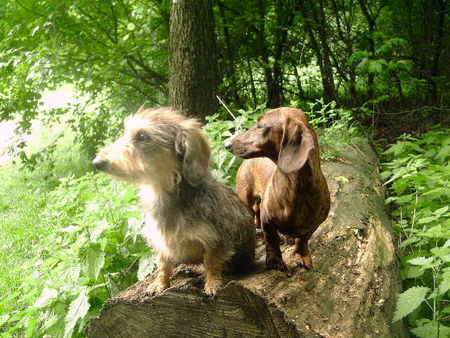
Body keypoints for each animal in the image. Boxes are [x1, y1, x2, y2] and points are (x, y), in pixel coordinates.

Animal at [92, 106, 255, 296]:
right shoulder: (161, 243)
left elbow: (212, 264)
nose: (97, 162)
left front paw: (212, 284)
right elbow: (163, 265)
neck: (161, 194)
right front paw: (159, 284)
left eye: (142, 136)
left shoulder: (217, 240)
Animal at [225, 107, 330, 270]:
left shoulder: (314, 225)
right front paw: (275, 261)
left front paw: (302, 256)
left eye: (260, 126)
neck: (297, 189)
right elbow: (272, 240)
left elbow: (303, 240)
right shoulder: (267, 220)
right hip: (246, 197)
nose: (227, 144)